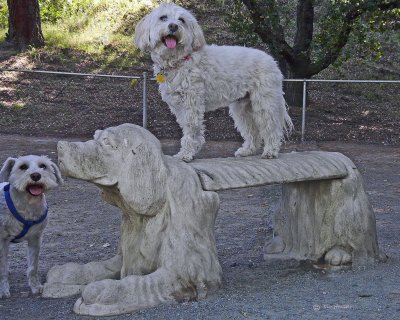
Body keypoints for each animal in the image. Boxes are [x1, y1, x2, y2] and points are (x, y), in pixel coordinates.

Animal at [0, 155, 62, 298]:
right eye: (22, 167)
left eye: (43, 166)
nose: (35, 175)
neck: (27, 204)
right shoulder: (2, 241)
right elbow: (2, 269)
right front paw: (3, 290)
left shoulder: (35, 239)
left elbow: (33, 266)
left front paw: (36, 287)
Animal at [136, 3, 292, 161]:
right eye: (163, 18)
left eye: (181, 20)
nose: (173, 26)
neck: (179, 60)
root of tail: (272, 60)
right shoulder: (179, 106)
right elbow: (188, 127)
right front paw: (192, 149)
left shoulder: (191, 102)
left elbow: (191, 129)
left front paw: (186, 153)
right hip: (242, 107)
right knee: (252, 130)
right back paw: (248, 150)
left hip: (265, 102)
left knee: (271, 127)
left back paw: (270, 151)